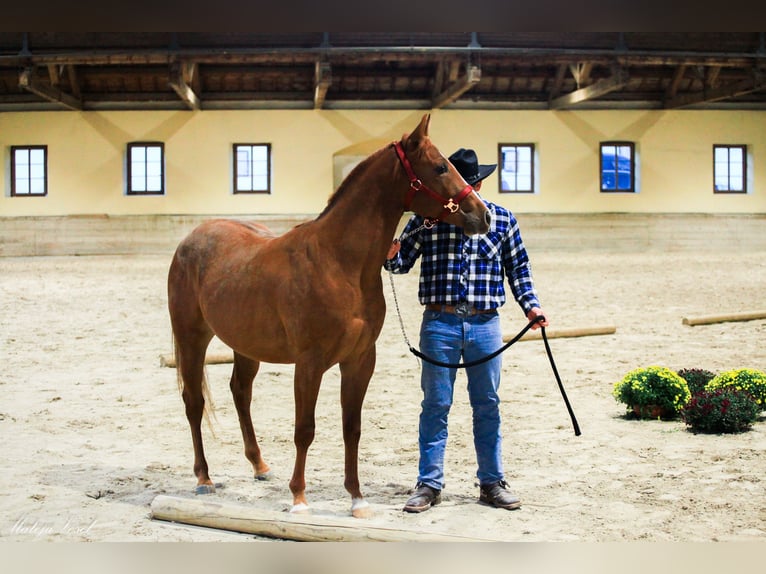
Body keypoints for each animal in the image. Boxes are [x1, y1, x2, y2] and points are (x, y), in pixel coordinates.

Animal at [166, 112, 492, 516]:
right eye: (440, 167)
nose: (484, 215)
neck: (338, 262)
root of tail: (191, 239)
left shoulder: (360, 360)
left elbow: (351, 428)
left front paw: (356, 498)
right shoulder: (310, 363)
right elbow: (304, 429)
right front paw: (299, 498)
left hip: (246, 345)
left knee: (240, 392)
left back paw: (260, 466)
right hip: (191, 338)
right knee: (194, 402)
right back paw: (204, 478)